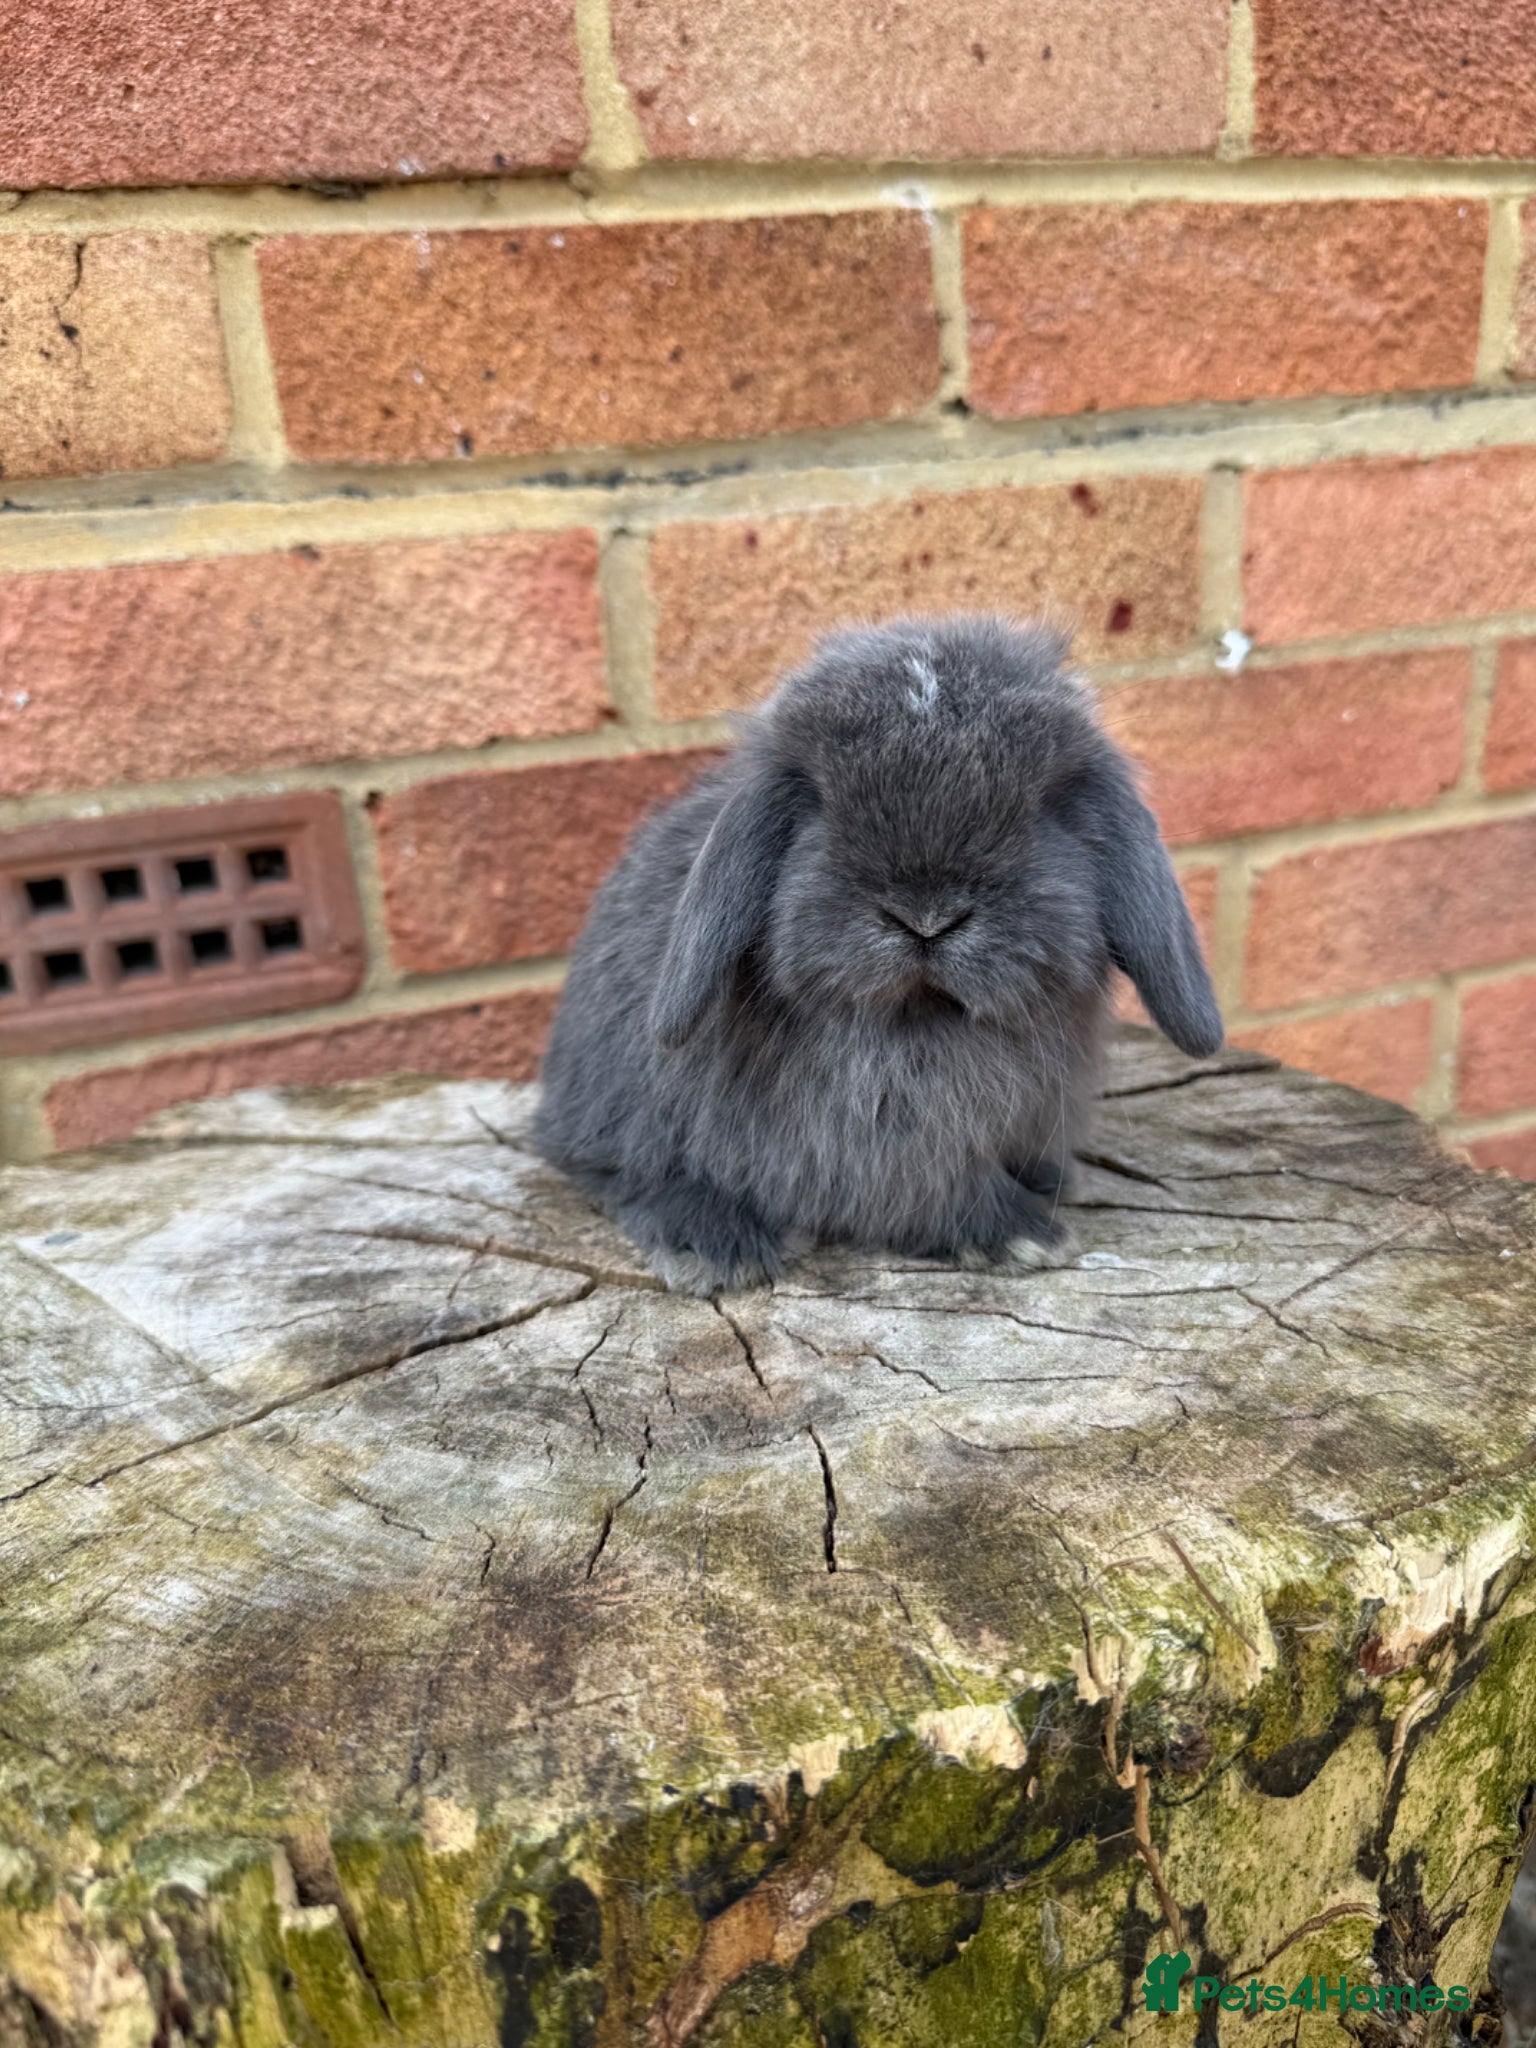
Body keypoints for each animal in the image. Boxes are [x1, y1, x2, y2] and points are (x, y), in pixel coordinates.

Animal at [534, 615, 1222, 1295]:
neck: (928, 1015)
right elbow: (925, 1192)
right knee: (622, 1173)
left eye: (1044, 806)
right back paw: (715, 1245)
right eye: (817, 804)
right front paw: (1019, 1236)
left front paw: (1044, 1192)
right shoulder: (868, 1148)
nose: (926, 918)